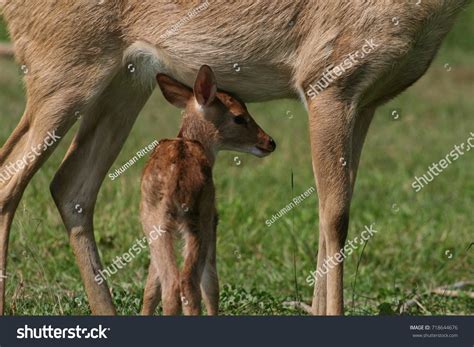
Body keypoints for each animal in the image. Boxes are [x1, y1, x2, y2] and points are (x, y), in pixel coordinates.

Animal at [0, 0, 466, 316]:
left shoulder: (366, 102)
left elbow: (328, 215)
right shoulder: (330, 77)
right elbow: (336, 217)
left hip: (125, 80)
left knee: (71, 184)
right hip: (62, 66)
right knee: (11, 177)